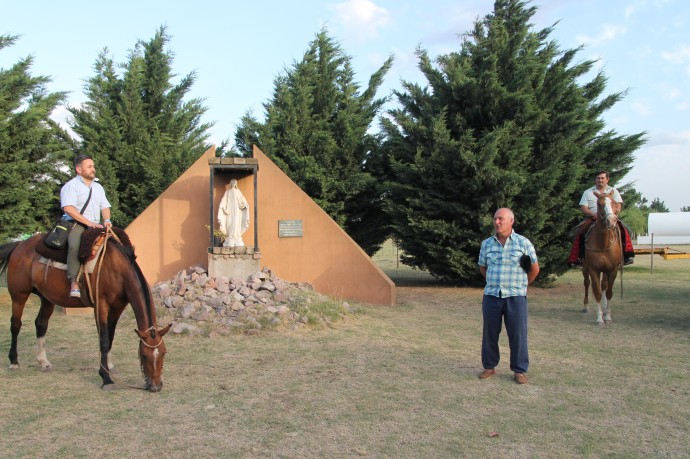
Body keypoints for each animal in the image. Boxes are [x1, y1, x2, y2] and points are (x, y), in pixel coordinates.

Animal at [0, 230, 171, 392]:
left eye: (163, 353)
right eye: (144, 355)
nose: (155, 386)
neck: (117, 269)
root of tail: (20, 245)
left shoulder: (118, 307)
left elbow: (110, 337)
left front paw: (108, 366)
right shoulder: (101, 305)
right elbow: (104, 340)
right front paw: (106, 378)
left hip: (47, 298)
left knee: (41, 324)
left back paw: (43, 362)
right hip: (19, 295)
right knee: (16, 324)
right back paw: (14, 361)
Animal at [576, 190, 620, 328]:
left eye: (614, 203)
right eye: (599, 204)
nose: (611, 221)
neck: (603, 243)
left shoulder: (612, 270)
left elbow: (609, 292)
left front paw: (607, 316)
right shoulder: (593, 269)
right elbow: (597, 292)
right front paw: (600, 319)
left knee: (604, 285)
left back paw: (605, 309)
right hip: (585, 268)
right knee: (587, 283)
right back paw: (586, 306)